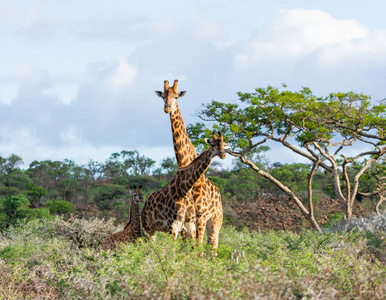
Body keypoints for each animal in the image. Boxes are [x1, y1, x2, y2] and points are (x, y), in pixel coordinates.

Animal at [155, 81, 225, 250]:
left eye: (176, 96)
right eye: (163, 96)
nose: (167, 108)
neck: (184, 161)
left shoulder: (199, 216)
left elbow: (197, 248)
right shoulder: (185, 220)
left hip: (215, 220)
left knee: (213, 246)